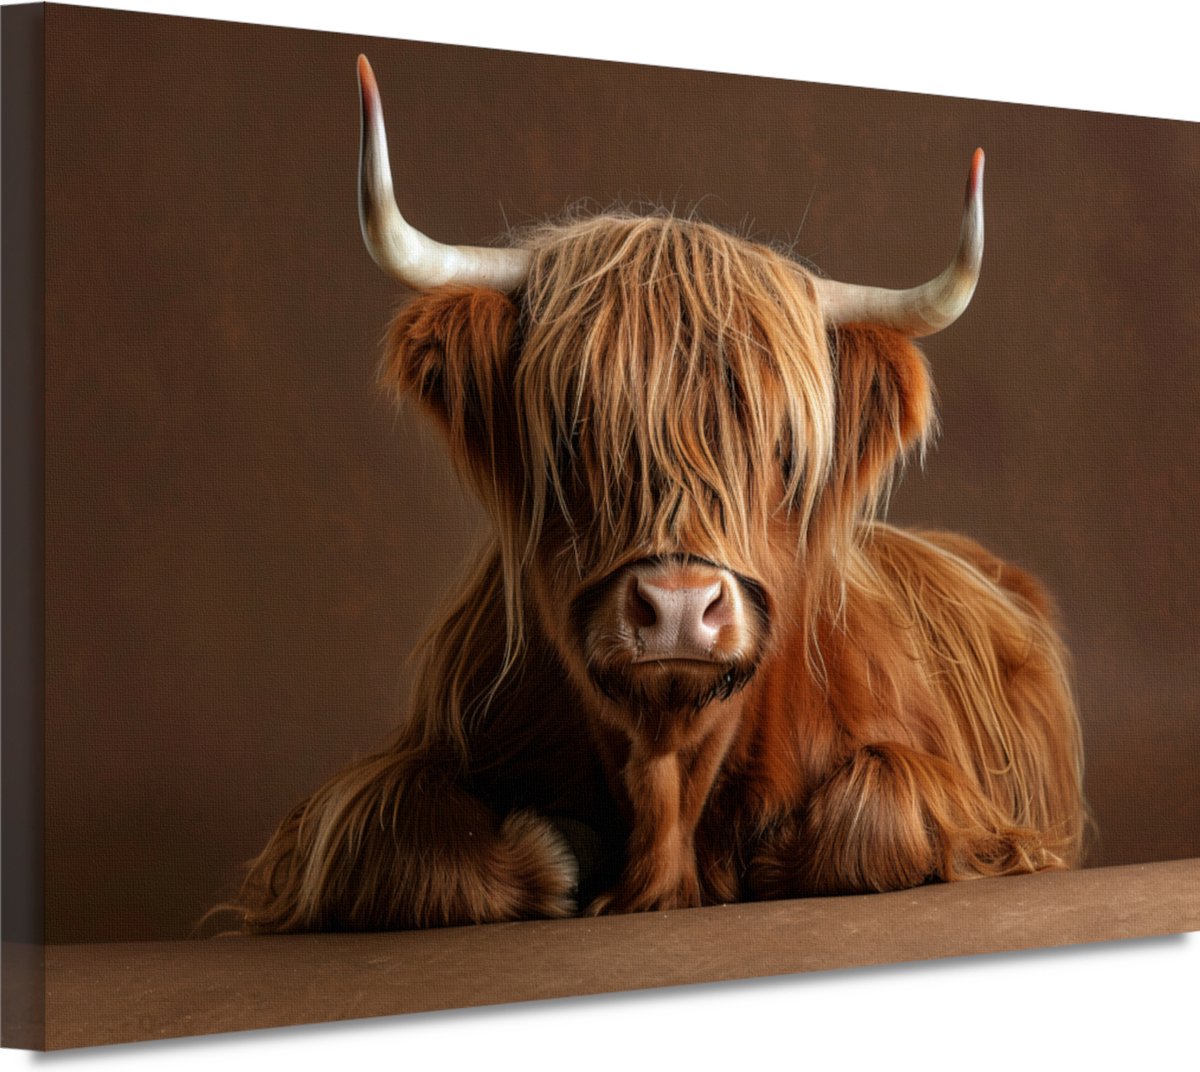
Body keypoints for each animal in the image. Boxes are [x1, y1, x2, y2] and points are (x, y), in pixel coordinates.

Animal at [233, 56, 1086, 932]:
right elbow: (397, 832)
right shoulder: (368, 794)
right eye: (573, 428)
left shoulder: (972, 800)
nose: (679, 606)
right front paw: (558, 851)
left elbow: (874, 810)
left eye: (783, 447)